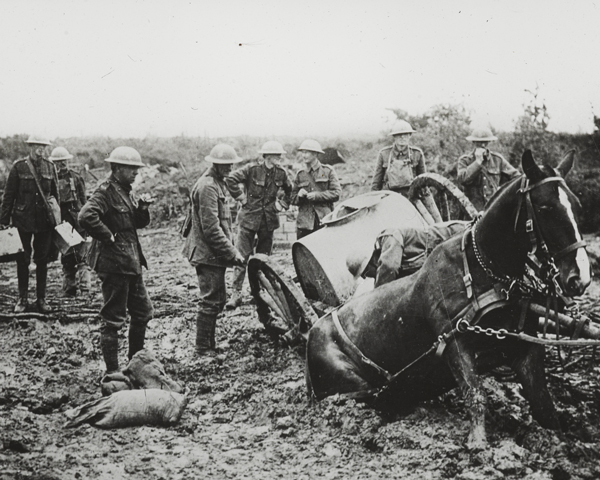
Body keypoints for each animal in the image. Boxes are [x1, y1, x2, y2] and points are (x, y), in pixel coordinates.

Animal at [304, 150, 592, 450]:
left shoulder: (526, 348)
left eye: (576, 204)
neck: (483, 271)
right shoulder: (455, 342)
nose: (580, 277)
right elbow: (475, 394)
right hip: (352, 386)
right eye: (545, 207)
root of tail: (312, 333)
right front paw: (478, 445)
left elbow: (544, 405)